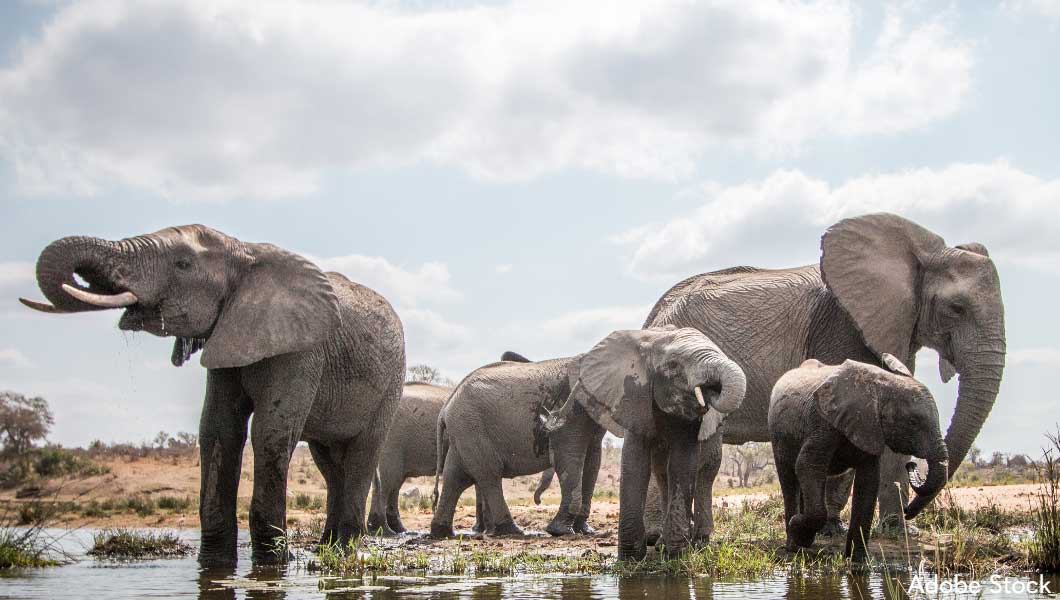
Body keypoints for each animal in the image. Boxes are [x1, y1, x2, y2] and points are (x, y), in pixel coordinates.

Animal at [19, 225, 406, 566]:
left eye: (182, 264)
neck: (244, 250)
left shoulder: (303, 351)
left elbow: (270, 432)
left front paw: (274, 564)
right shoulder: (226, 337)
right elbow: (219, 430)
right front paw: (215, 563)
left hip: (391, 384)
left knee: (360, 456)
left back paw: (342, 550)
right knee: (329, 463)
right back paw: (325, 548)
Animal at [544, 327, 745, 559]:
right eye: (673, 365)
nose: (712, 389)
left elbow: (683, 463)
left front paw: (676, 555)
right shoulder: (633, 397)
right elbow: (636, 463)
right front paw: (631, 558)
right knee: (661, 471)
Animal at [769, 355, 948, 559]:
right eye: (913, 422)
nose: (912, 464)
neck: (882, 387)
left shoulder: (870, 428)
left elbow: (868, 482)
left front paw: (858, 561)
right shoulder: (822, 423)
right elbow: (807, 466)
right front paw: (797, 529)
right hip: (779, 435)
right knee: (790, 479)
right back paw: (794, 546)